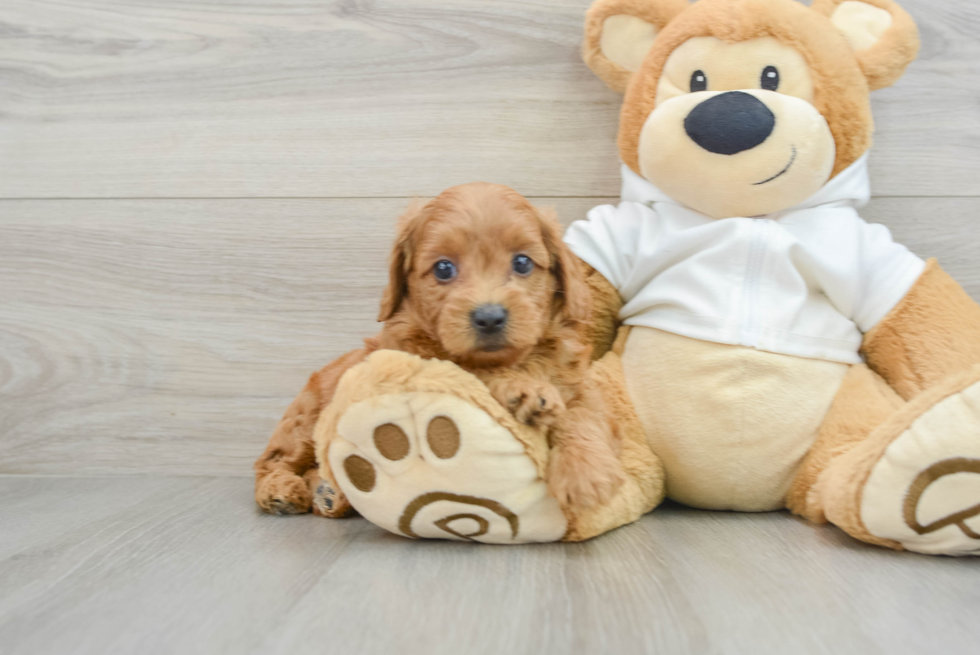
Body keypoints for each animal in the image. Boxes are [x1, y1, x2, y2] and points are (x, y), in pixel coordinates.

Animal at [256, 182, 624, 516]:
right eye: (444, 268)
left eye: (522, 263)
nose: (489, 317)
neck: (520, 360)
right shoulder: (419, 362)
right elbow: (471, 371)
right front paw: (523, 391)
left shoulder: (579, 385)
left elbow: (583, 415)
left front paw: (585, 473)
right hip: (305, 422)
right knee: (272, 460)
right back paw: (281, 491)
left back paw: (329, 495)